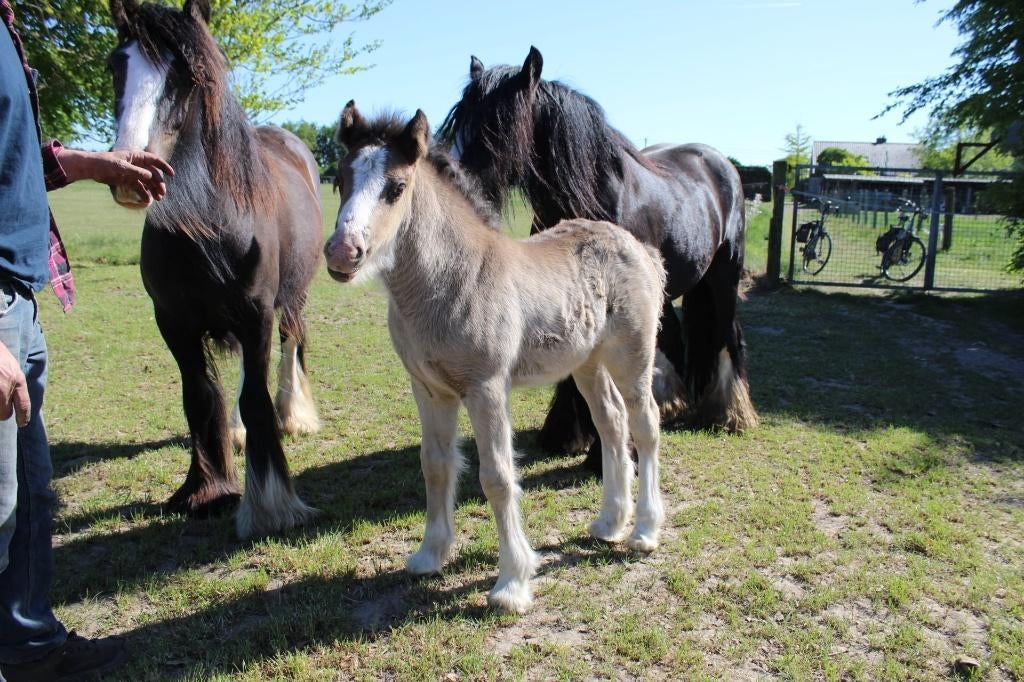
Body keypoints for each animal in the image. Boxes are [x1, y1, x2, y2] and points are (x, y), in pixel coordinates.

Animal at [107, 0, 322, 538]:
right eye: (116, 66)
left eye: (186, 76)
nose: (131, 173)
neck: (205, 224)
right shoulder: (173, 323)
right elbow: (200, 398)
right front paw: (206, 491)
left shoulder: (257, 314)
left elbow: (256, 398)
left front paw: (271, 506)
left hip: (292, 298)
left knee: (289, 345)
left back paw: (294, 415)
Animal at [323, 103, 666, 612]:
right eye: (342, 179)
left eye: (396, 187)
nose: (342, 252)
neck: (448, 282)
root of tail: (638, 247)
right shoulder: (429, 388)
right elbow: (436, 464)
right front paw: (429, 555)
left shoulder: (486, 388)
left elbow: (498, 478)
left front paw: (512, 584)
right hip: (586, 362)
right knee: (611, 422)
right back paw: (609, 522)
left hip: (632, 355)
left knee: (645, 425)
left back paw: (644, 530)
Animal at [438, 47, 758, 473]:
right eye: (458, 123)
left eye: (498, 127)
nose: (449, 185)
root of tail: (721, 165)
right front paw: (567, 433)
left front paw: (608, 452)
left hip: (723, 277)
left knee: (728, 334)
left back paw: (732, 415)